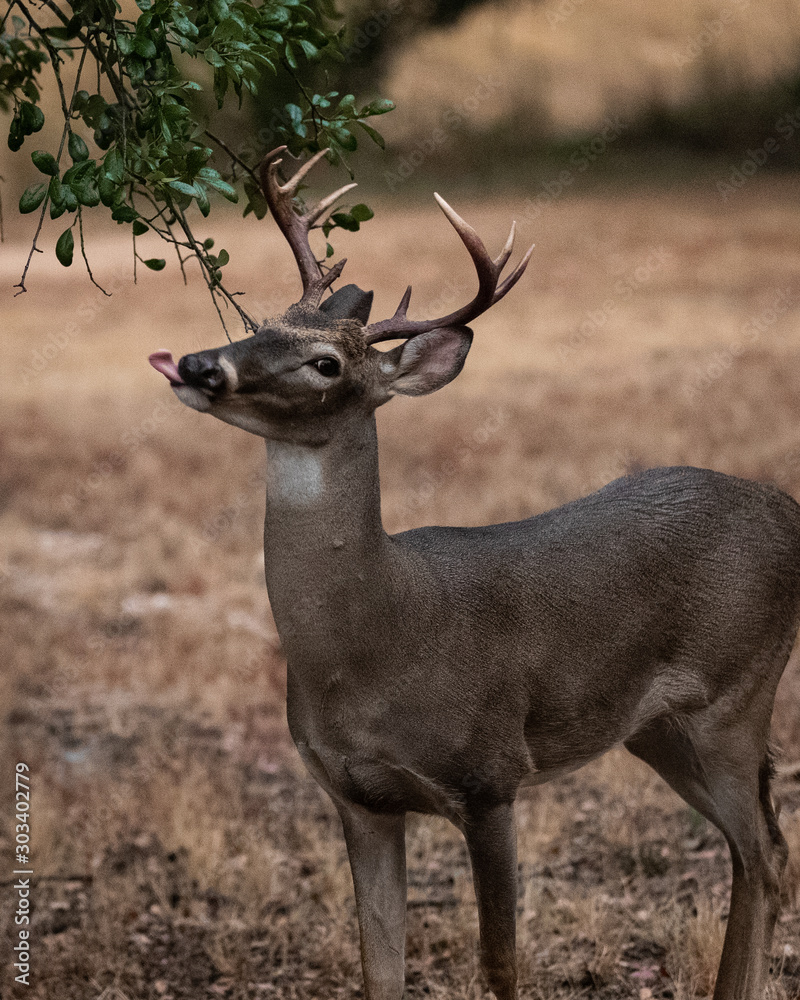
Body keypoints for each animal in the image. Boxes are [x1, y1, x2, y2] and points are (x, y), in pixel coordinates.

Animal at [149, 146, 797, 1000]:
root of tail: (788, 508)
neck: (378, 638)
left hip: (734, 697)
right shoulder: (355, 796)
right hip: (658, 730)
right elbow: (379, 963)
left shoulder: (491, 775)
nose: (197, 365)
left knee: (766, 855)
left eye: (326, 363)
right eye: (260, 325)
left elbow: (500, 960)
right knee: (760, 852)